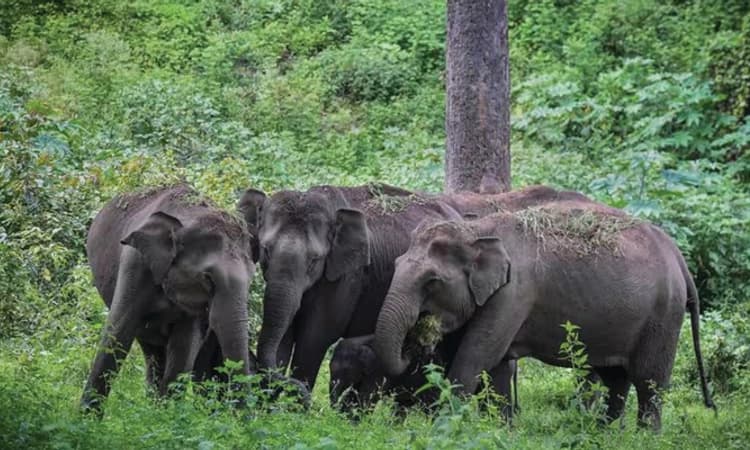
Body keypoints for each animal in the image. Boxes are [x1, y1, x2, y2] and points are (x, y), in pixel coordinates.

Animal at [81, 184, 256, 412]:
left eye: (252, 278)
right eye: (208, 278)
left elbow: (184, 345)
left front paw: (167, 415)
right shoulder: (135, 262)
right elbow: (117, 332)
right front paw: (85, 418)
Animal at [373, 199, 715, 431]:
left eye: (432, 281)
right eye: (395, 264)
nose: (416, 345)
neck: (477, 230)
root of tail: (678, 256)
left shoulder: (514, 294)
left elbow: (476, 357)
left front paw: (443, 428)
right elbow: (498, 367)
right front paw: (502, 431)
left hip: (663, 316)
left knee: (649, 382)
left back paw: (644, 436)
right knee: (616, 379)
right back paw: (604, 434)